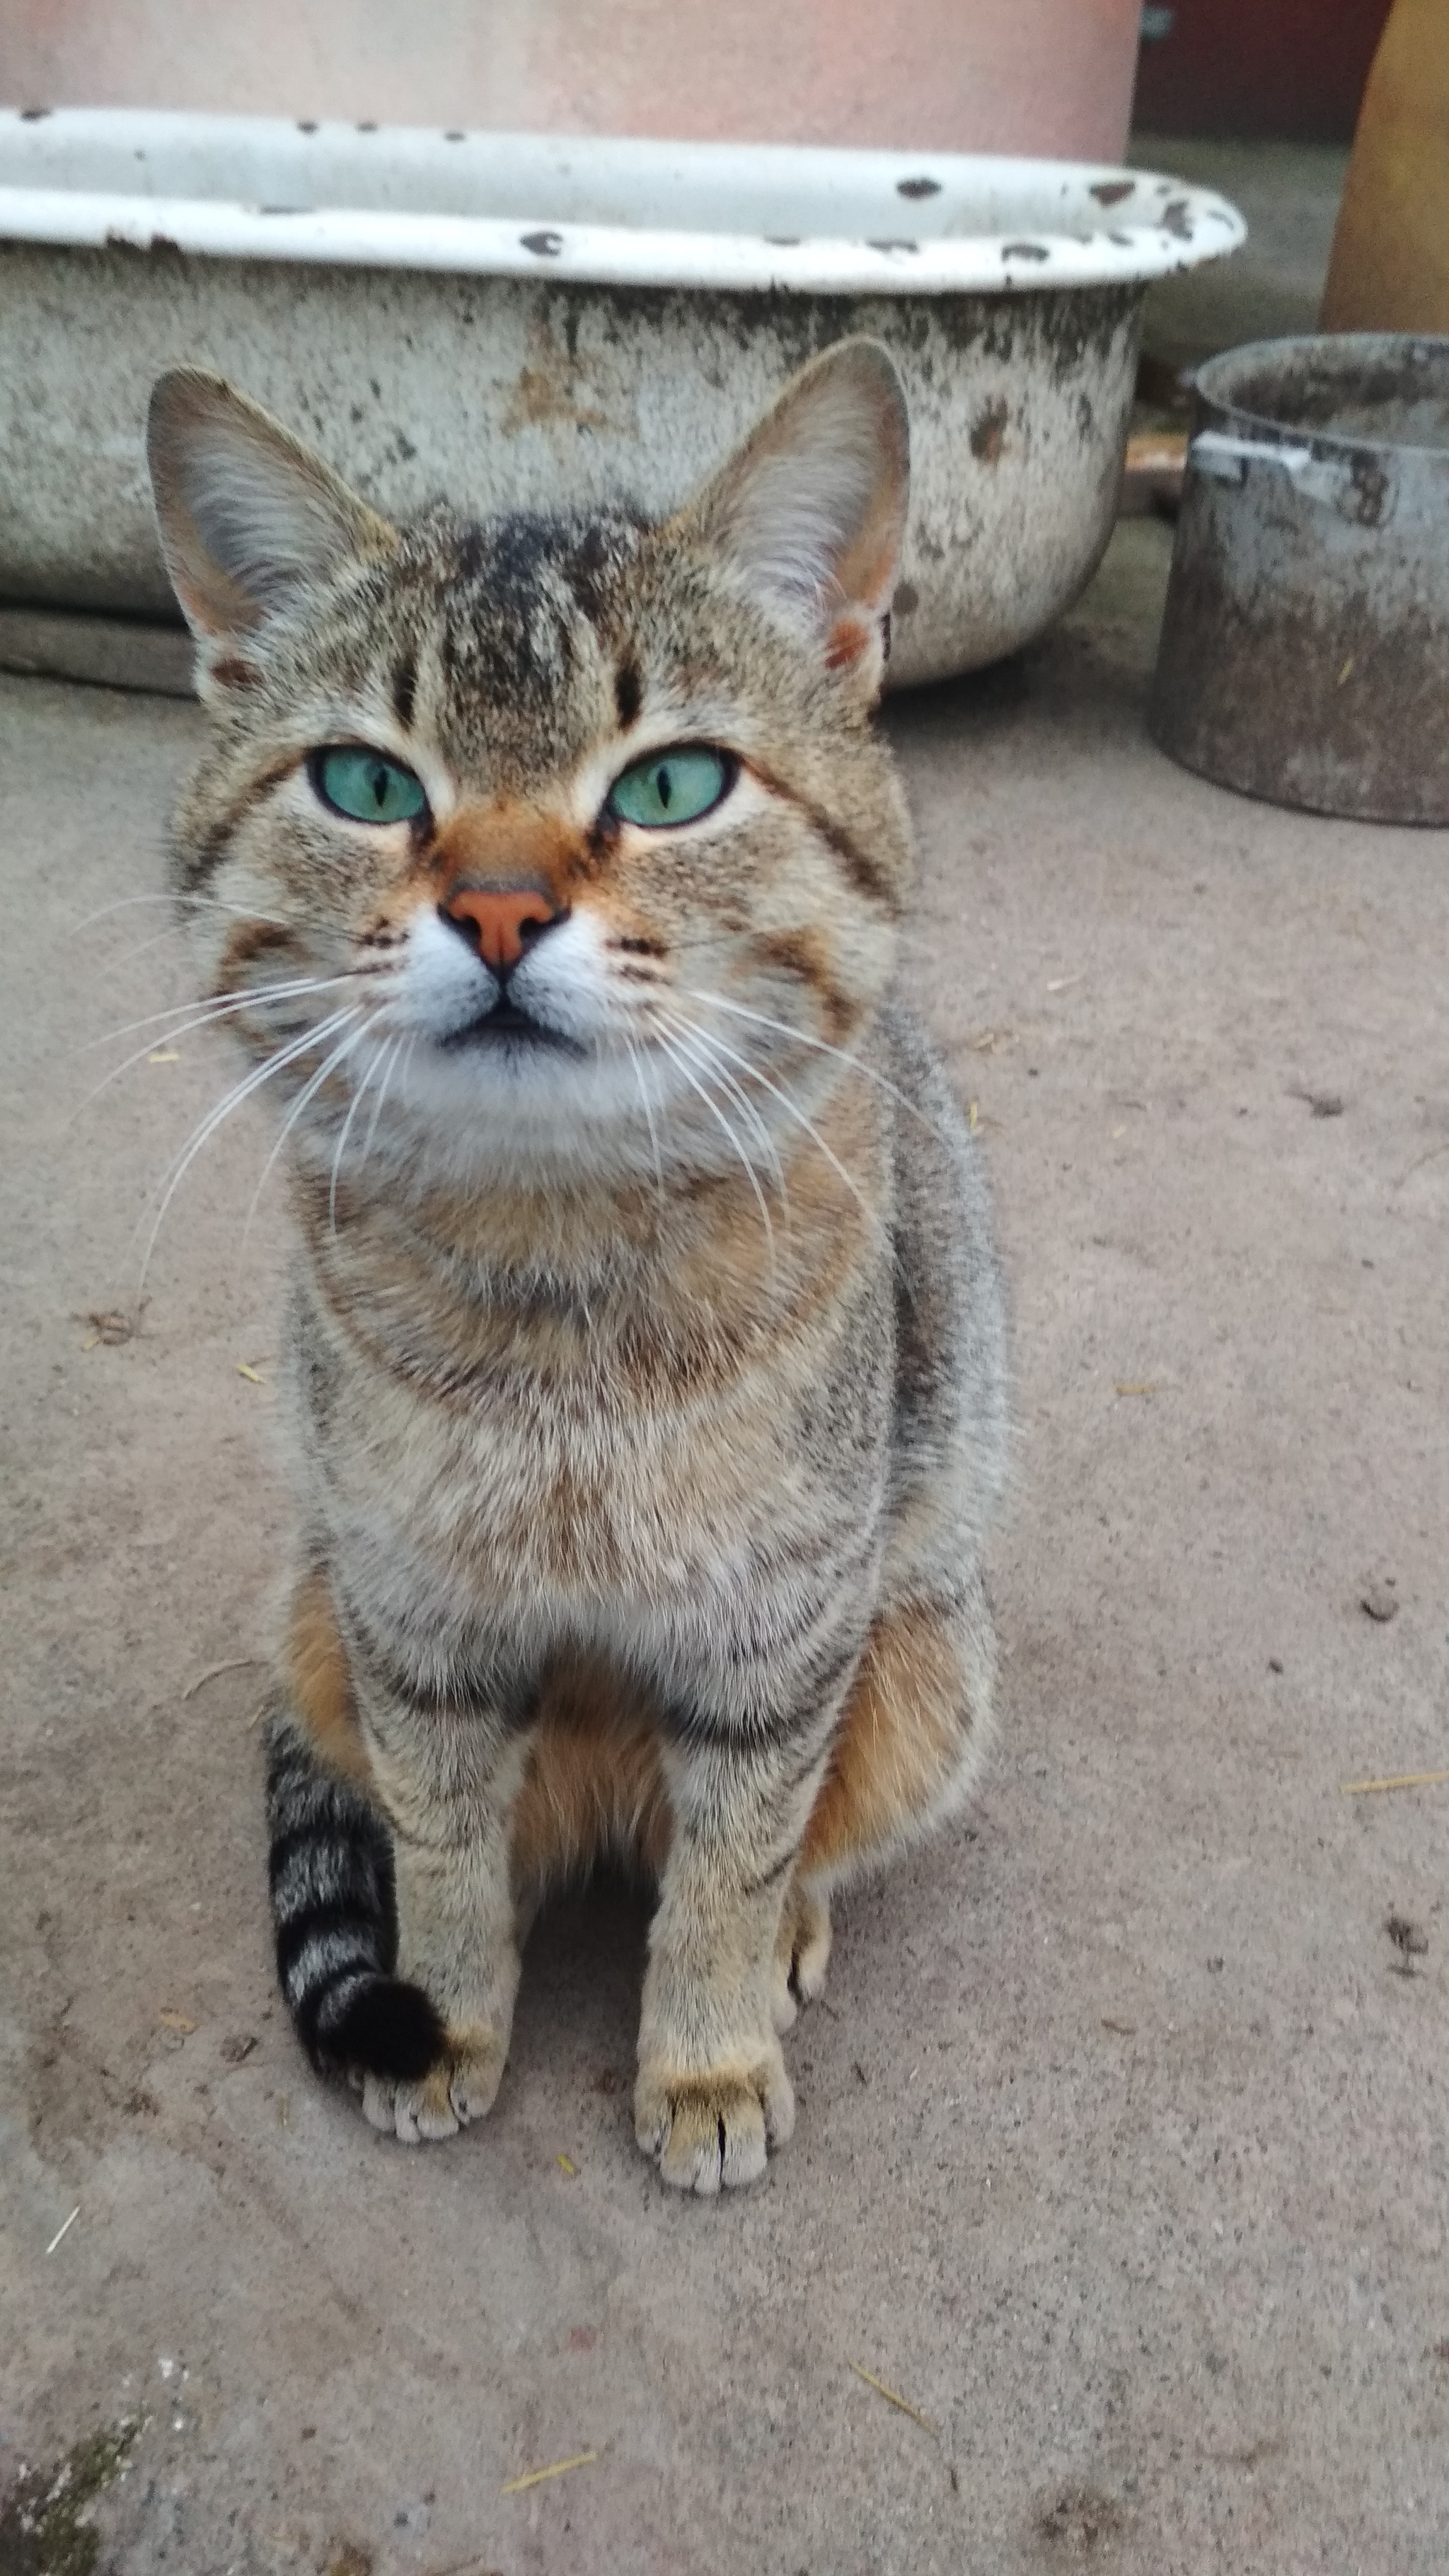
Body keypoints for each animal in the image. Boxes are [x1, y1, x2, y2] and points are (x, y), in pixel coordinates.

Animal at [145, 337, 1007, 2193]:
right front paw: (450, 2011)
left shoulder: (782, 1629)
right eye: (368, 782)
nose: (495, 907)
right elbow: (446, 1847)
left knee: (788, 1836)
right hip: (314, 1613)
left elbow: (736, 1860)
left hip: (927, 1660)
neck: (555, 1267)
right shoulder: (410, 1618)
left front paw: (706, 2053)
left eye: (673, 783)